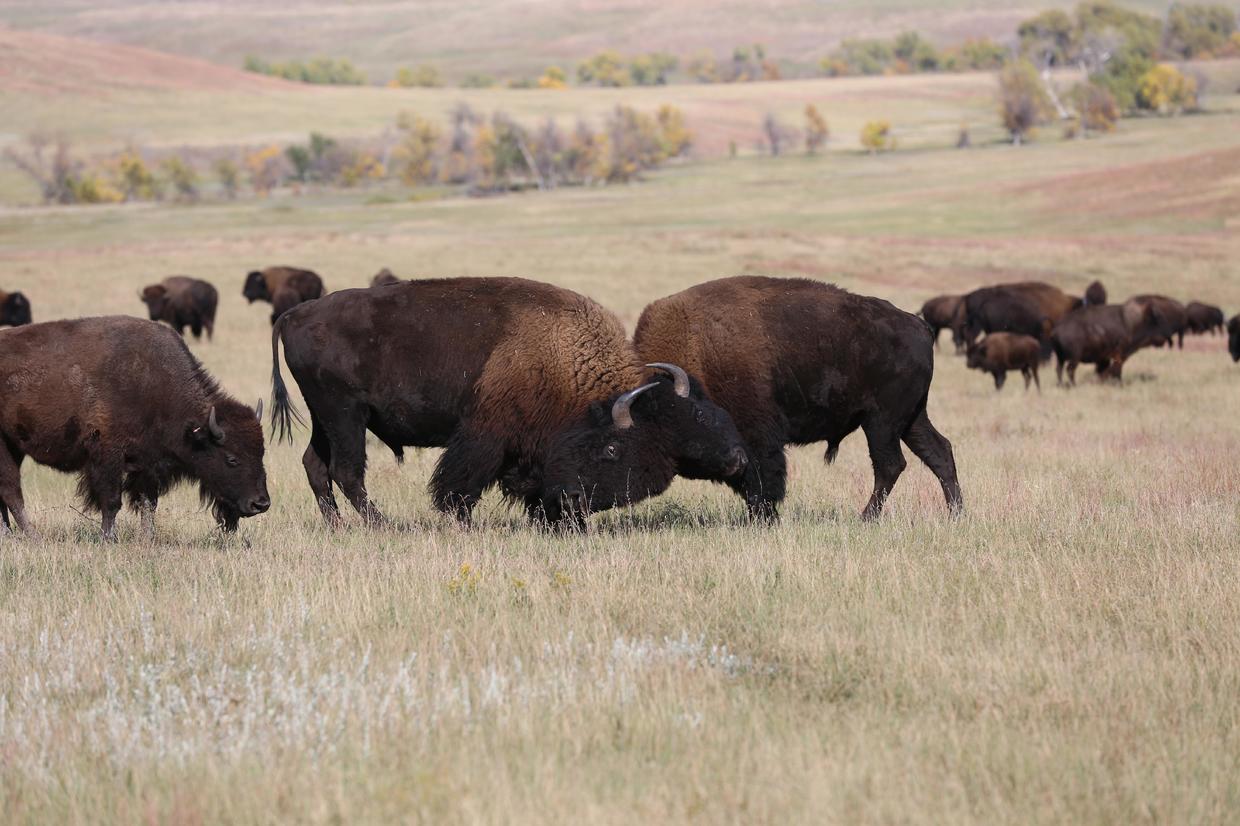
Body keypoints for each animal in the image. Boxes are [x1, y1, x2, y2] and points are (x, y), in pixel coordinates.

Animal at [0, 312, 270, 538]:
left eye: (261, 453)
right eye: (232, 458)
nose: (261, 503)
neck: (156, 384)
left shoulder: (148, 464)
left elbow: (148, 503)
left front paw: (148, 537)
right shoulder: (109, 455)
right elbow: (112, 501)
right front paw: (109, 538)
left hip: (14, 448)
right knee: (12, 492)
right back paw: (32, 536)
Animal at [270, 272, 744, 523]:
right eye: (613, 449)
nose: (574, 506)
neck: (562, 354)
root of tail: (294, 314)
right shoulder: (485, 434)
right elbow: (460, 483)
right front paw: (461, 522)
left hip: (326, 417)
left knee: (316, 465)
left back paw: (339, 526)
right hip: (345, 413)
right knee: (347, 471)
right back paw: (383, 525)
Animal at [555, 276, 967, 520]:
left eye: (613, 449)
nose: (575, 498)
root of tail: (918, 325)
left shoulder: (758, 437)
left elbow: (764, 478)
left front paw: (763, 518)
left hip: (880, 421)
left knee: (890, 464)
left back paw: (866, 518)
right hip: (910, 418)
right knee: (939, 451)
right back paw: (956, 515)